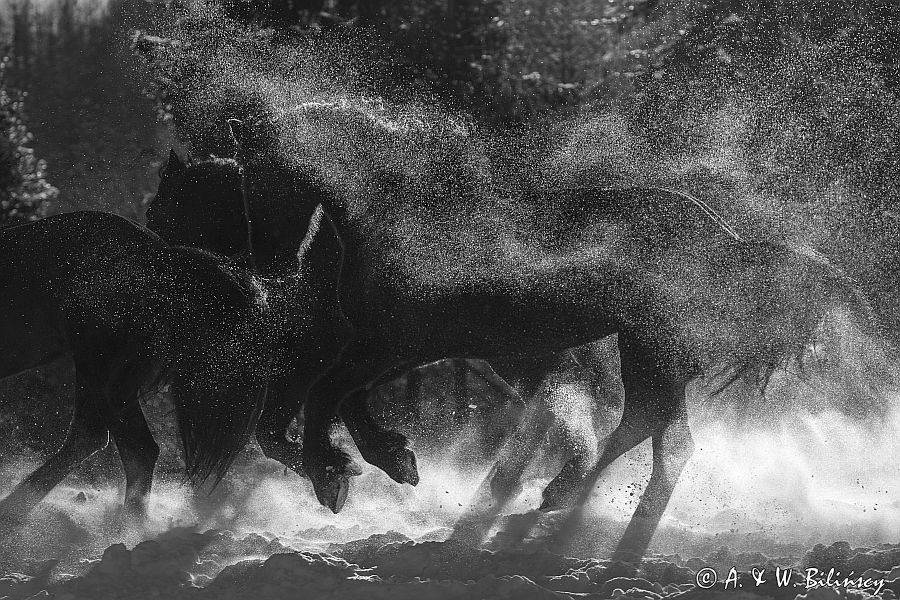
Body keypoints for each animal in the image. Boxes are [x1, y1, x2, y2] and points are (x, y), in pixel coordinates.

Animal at [145, 150, 624, 514]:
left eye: (165, 207)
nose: (154, 283)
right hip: (519, 358)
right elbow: (299, 425)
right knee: (570, 408)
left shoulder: (340, 355)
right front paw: (381, 462)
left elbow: (297, 422)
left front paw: (337, 472)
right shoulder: (341, 359)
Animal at [229, 100, 875, 561]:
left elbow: (326, 396)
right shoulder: (396, 345)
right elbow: (332, 400)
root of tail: (723, 235)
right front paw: (383, 461)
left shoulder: (393, 342)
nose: (264, 273)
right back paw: (557, 500)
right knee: (648, 423)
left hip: (653, 345)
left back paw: (598, 531)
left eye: (260, 181)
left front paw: (338, 473)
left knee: (666, 434)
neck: (402, 214)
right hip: (643, 347)